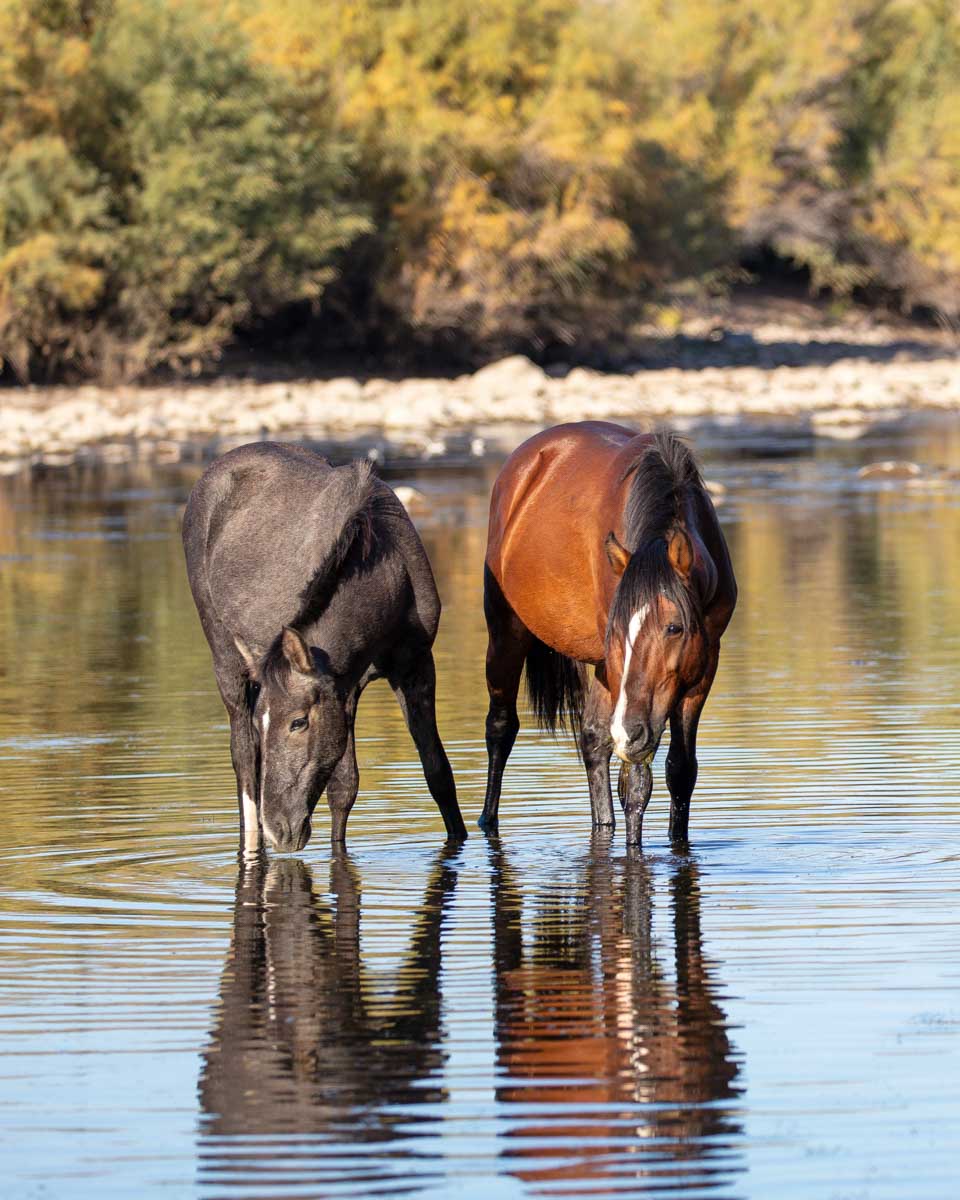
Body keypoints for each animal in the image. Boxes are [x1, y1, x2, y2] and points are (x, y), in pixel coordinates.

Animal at [182, 441, 467, 853]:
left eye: (298, 722)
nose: (280, 828)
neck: (388, 583)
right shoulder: (345, 687)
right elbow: (344, 787)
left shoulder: (415, 665)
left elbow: (438, 772)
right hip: (226, 661)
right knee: (244, 760)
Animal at [480, 421, 736, 848]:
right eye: (616, 630)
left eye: (674, 627)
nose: (630, 731)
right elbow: (636, 782)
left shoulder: (704, 666)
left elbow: (680, 771)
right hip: (507, 637)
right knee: (501, 728)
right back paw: (486, 820)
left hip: (601, 672)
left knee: (594, 742)